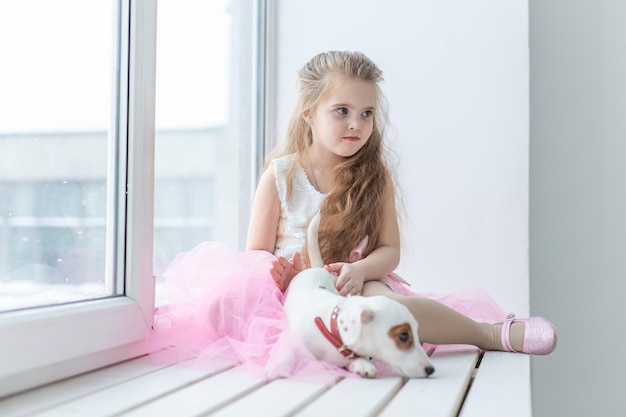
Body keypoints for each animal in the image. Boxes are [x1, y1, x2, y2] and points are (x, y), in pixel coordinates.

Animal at [280, 213, 432, 378]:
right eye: (403, 336)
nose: (431, 369)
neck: (333, 329)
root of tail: (319, 268)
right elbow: (286, 350)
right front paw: (277, 367)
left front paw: (364, 365)